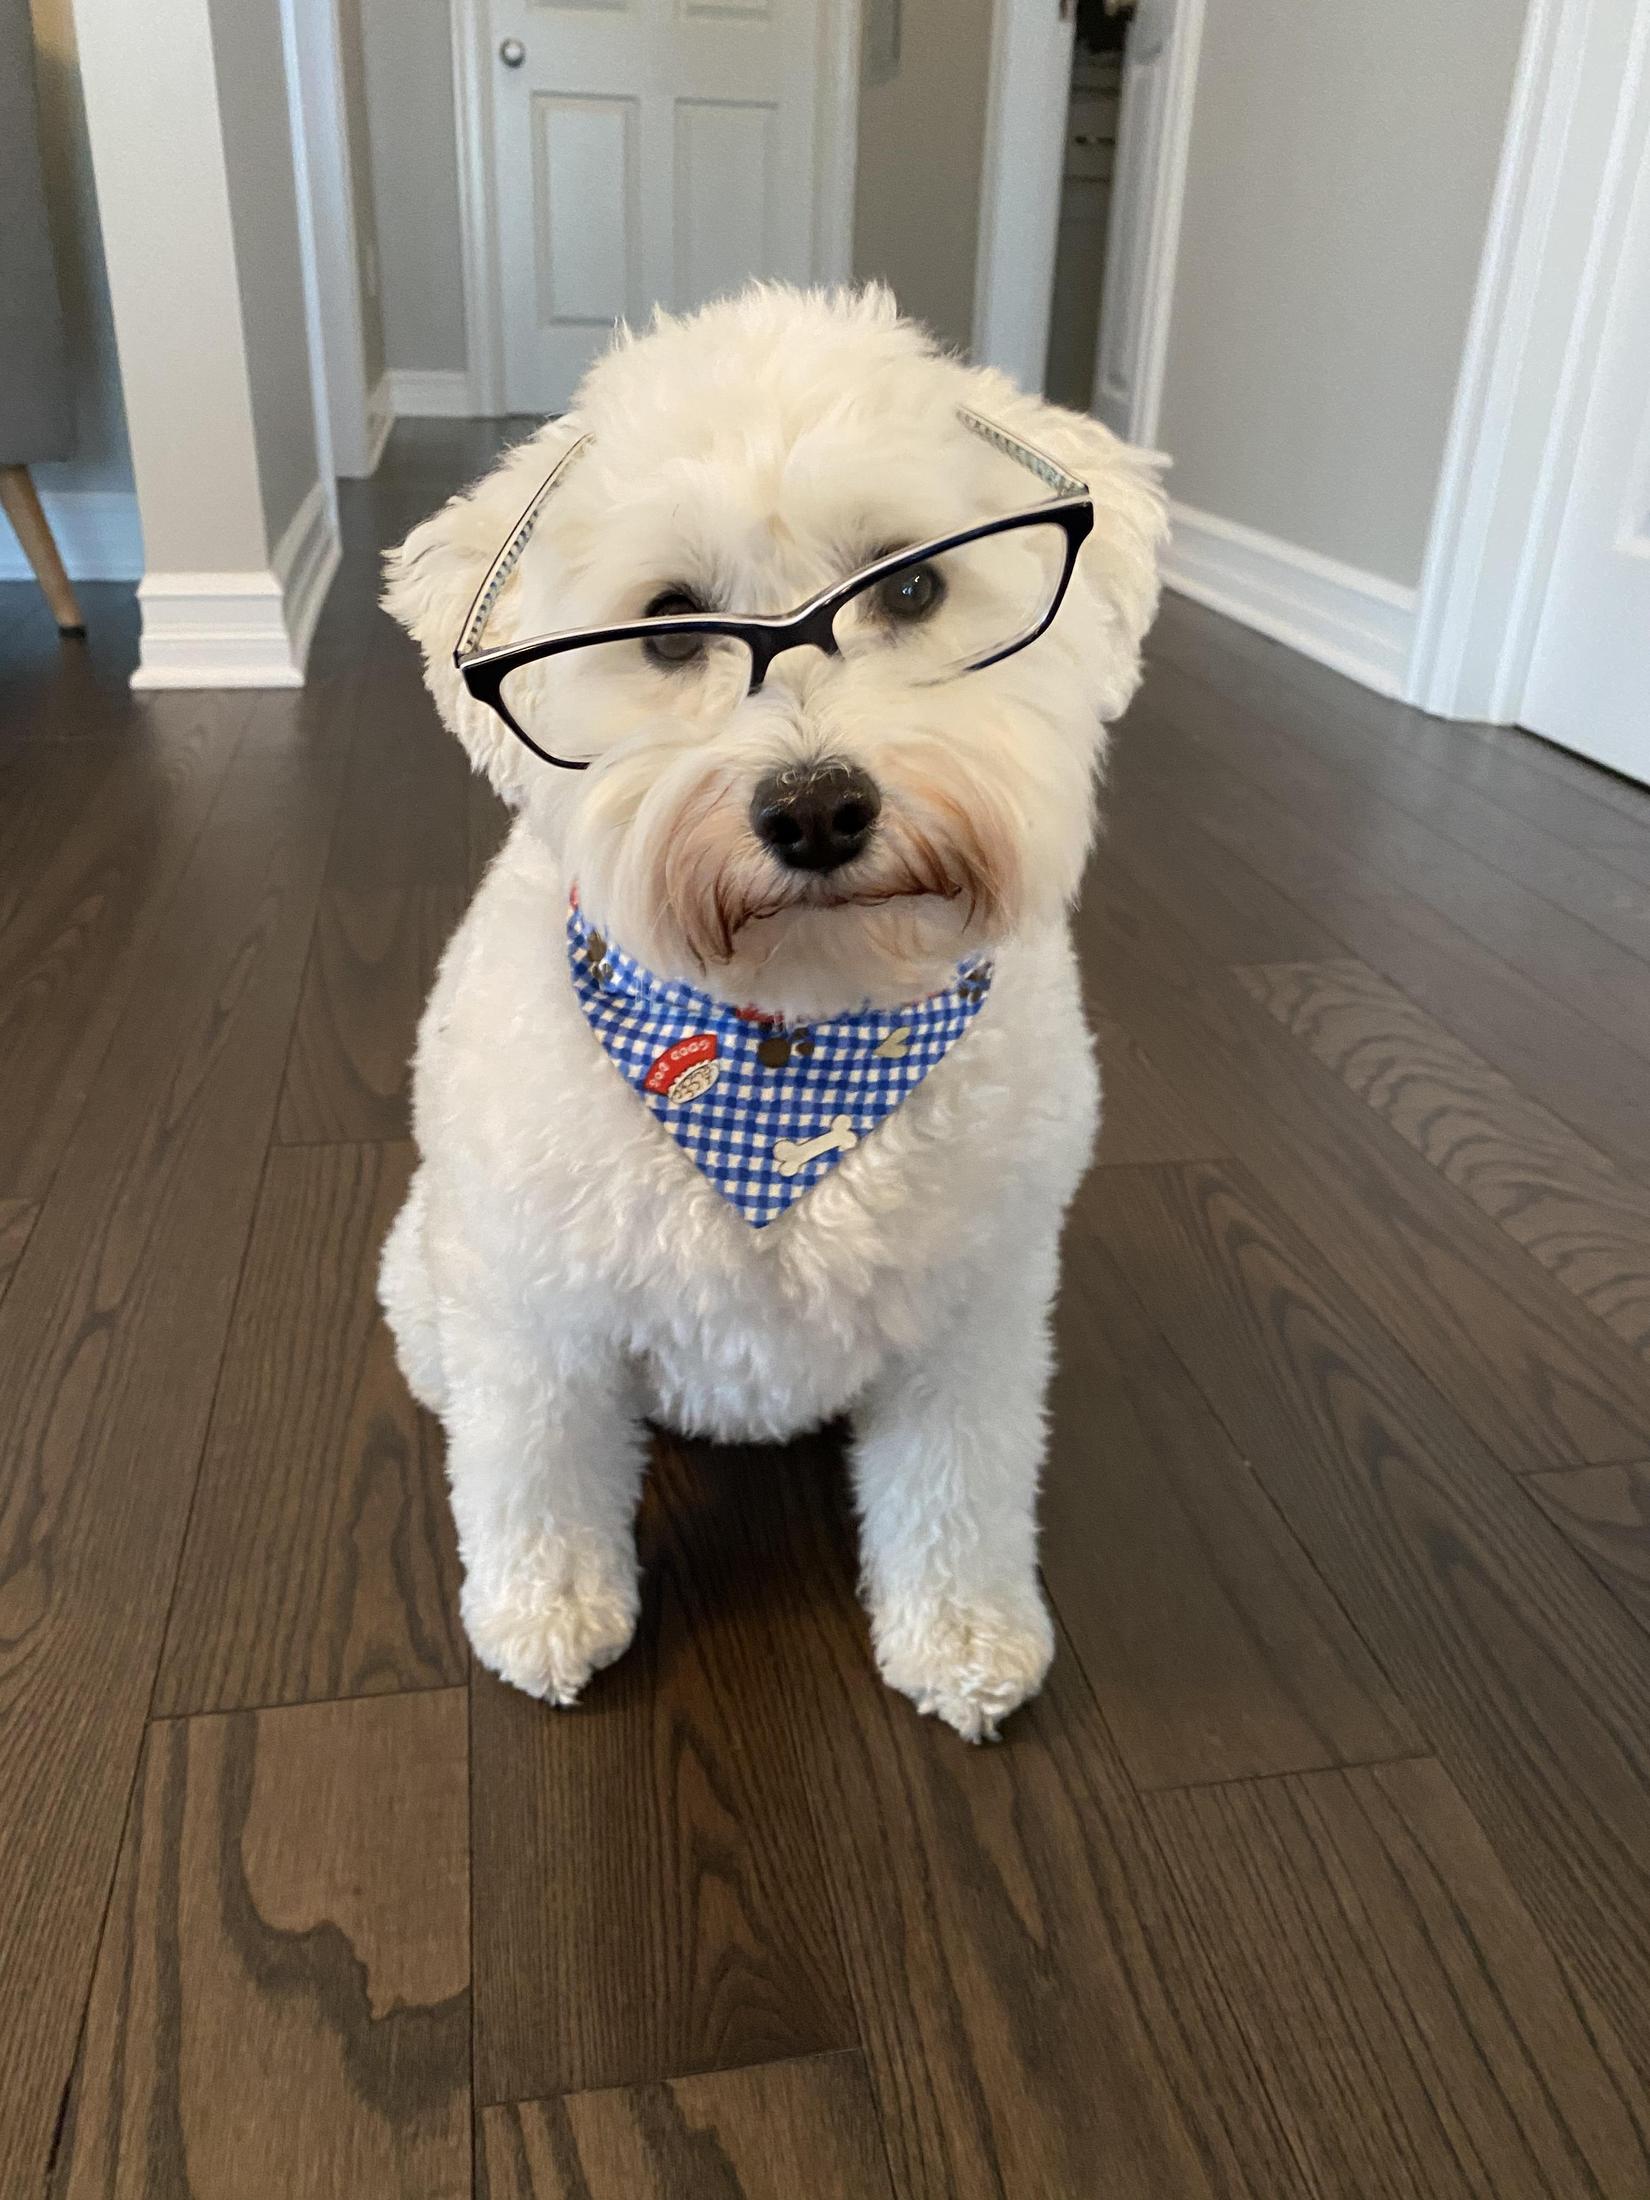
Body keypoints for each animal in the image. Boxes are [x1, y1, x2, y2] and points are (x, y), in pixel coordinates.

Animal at [380, 283, 1164, 1739]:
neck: (793, 1033)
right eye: (667, 623)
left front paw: (962, 1632)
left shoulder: (974, 1312)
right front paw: (546, 1611)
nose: (815, 808)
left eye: (911, 582)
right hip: (434, 1266)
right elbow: (537, 1473)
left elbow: (959, 1487)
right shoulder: (538, 1314)